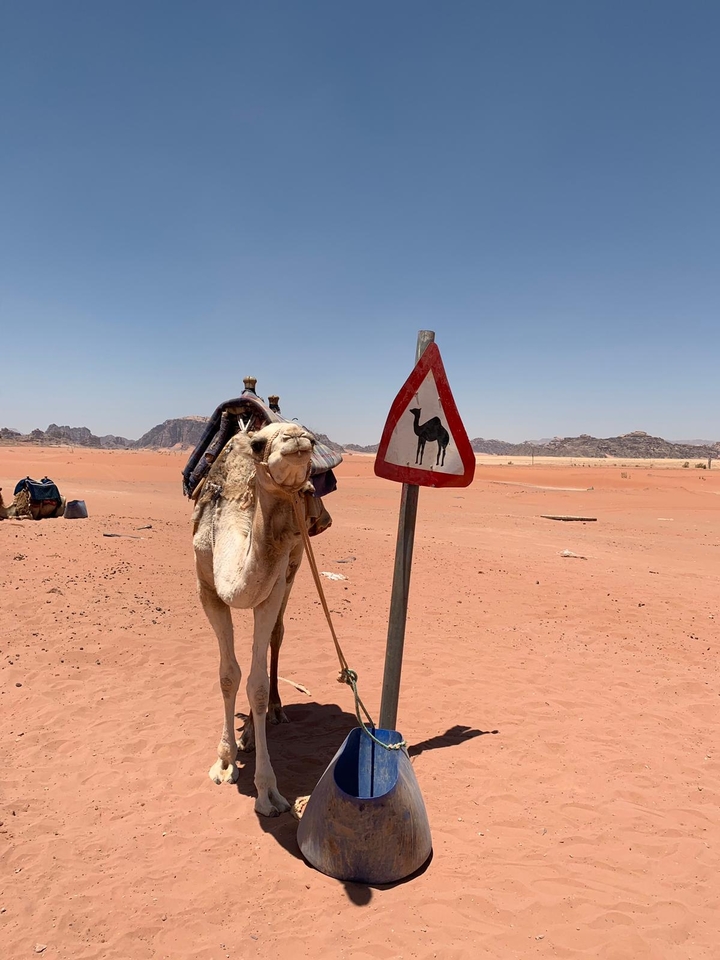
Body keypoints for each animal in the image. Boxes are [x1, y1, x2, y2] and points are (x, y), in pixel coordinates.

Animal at [192, 420, 318, 817]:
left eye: (310, 436)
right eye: (260, 444)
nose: (298, 438)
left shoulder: (272, 588)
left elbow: (257, 685)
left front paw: (268, 793)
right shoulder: (208, 589)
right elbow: (229, 676)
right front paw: (225, 762)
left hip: (294, 566)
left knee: (277, 634)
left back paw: (270, 716)